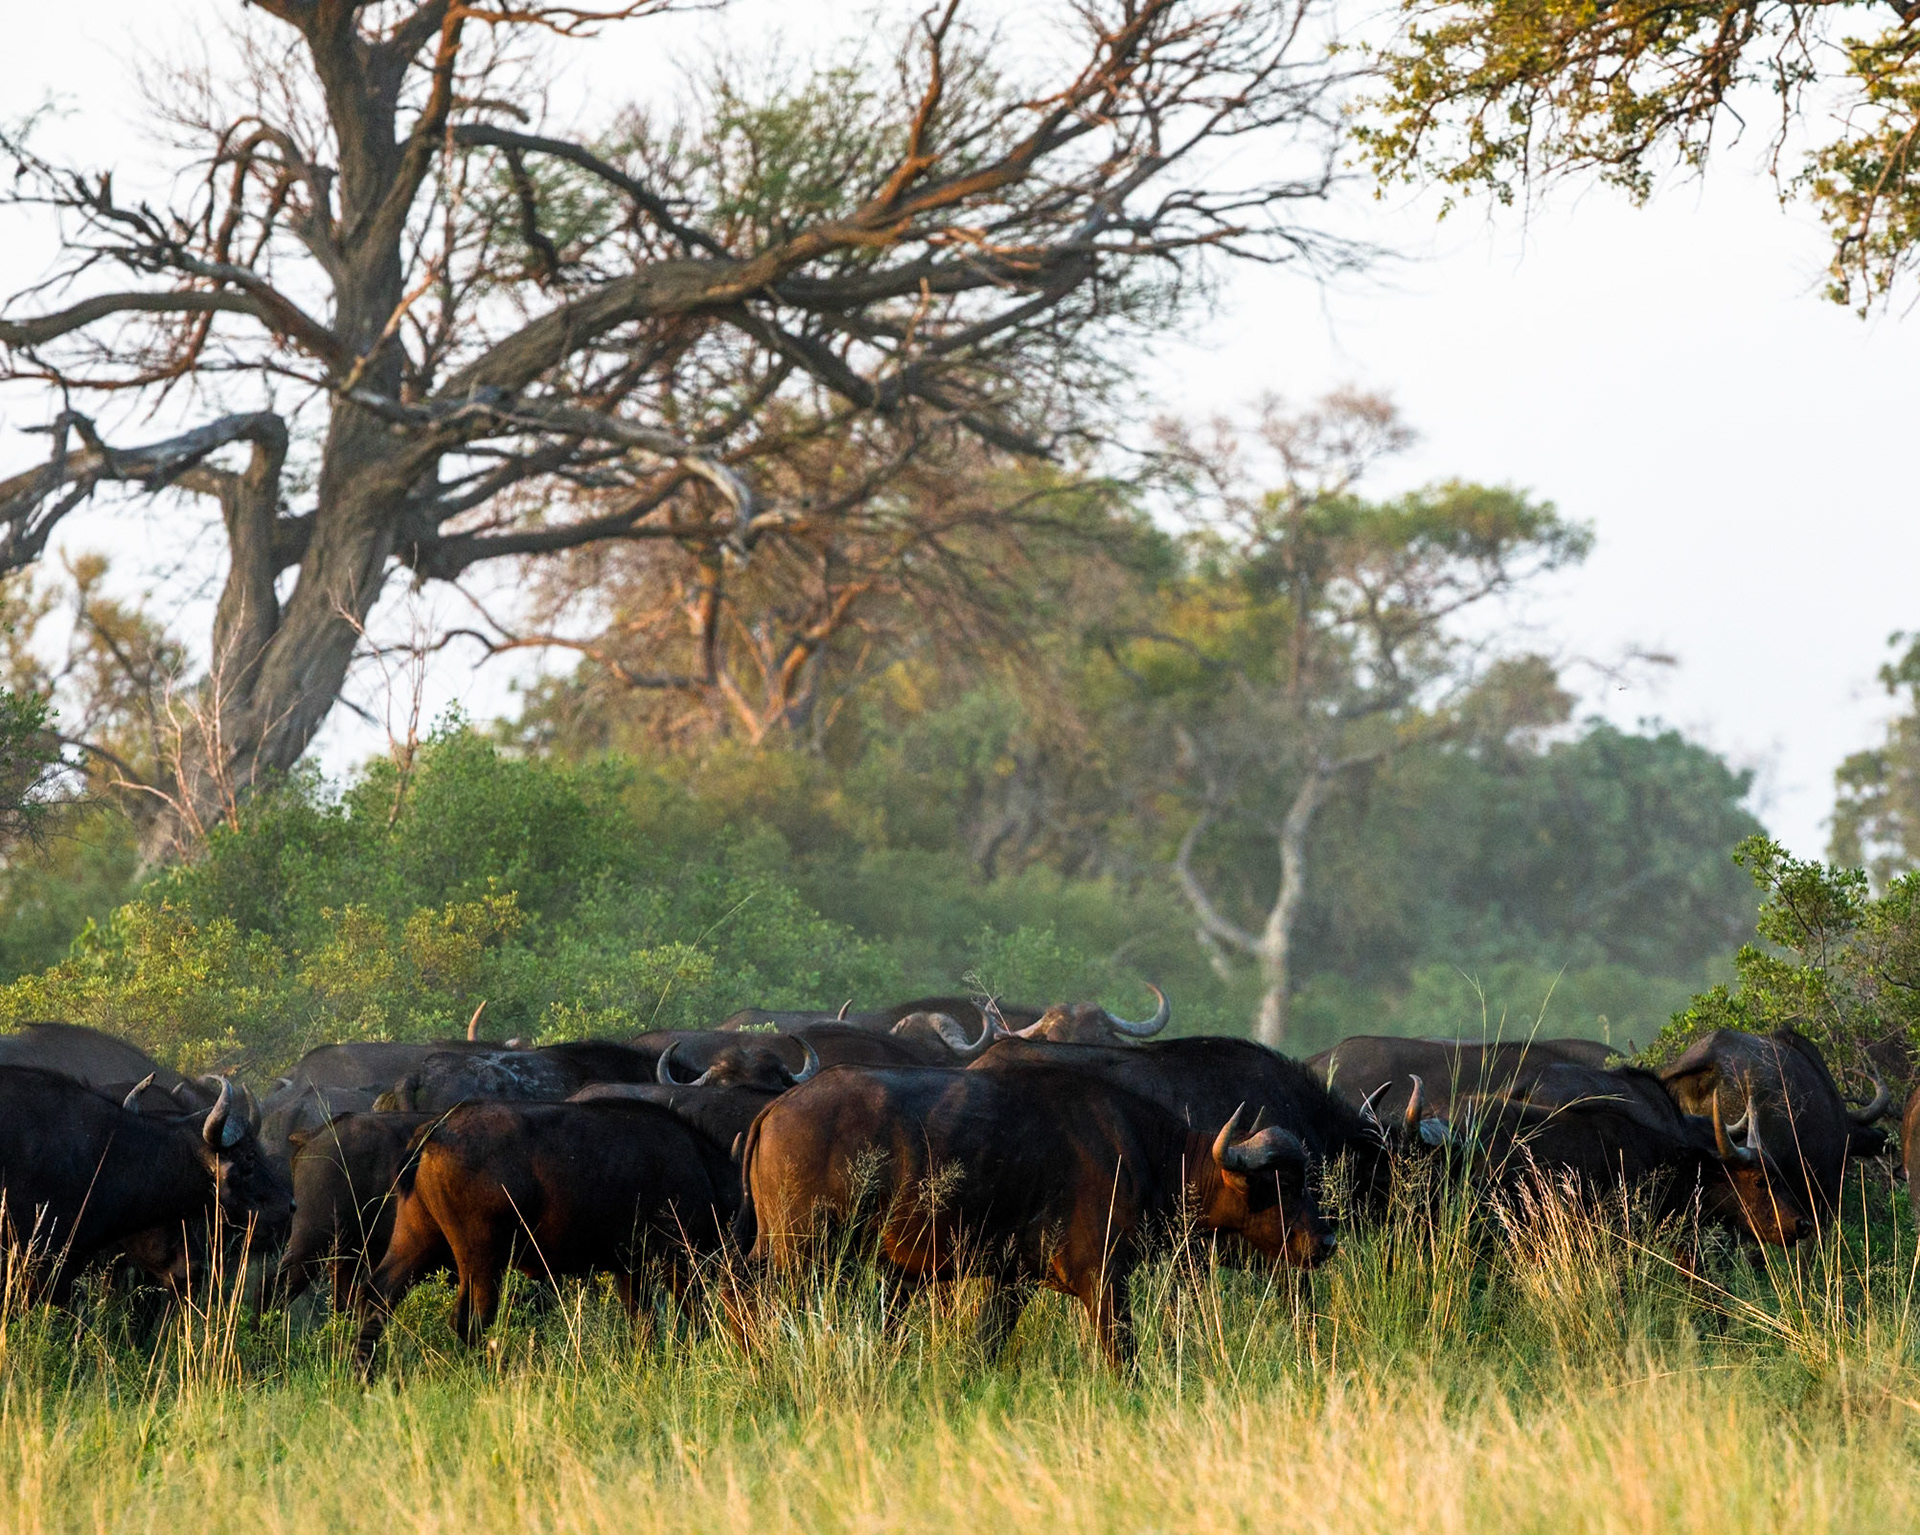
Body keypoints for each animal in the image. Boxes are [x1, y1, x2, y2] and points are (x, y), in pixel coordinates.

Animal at [736, 1064, 1333, 1366]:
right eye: (1280, 1183)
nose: (1324, 1242)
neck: (1141, 1149)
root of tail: (778, 1107)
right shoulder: (1104, 1278)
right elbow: (1123, 1357)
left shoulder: (1012, 1283)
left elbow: (985, 1347)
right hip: (801, 1252)